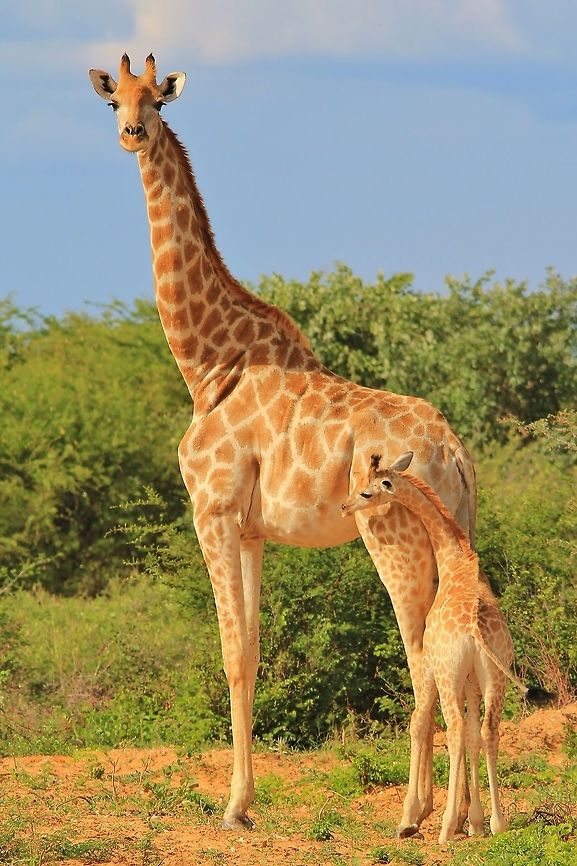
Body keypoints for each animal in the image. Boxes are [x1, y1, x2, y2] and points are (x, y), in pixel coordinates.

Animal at [88, 54, 477, 831]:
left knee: (422, 654)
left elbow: (231, 652)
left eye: (156, 99)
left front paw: (232, 807)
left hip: (395, 538)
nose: (133, 134)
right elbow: (255, 651)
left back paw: (416, 815)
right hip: (456, 537)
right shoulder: (250, 530)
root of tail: (452, 451)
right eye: (115, 100)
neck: (210, 364)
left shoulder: (210, 511)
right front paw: (245, 799)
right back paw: (460, 816)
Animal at [342, 451, 552, 843]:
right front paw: (477, 822)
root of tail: (474, 628)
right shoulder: (474, 681)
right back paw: (498, 824)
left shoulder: (453, 675)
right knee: (488, 731)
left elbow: (457, 733)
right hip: (495, 678)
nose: (345, 506)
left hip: (448, 675)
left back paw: (445, 827)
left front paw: (459, 822)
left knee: (453, 731)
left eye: (366, 491)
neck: (455, 557)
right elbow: (475, 735)